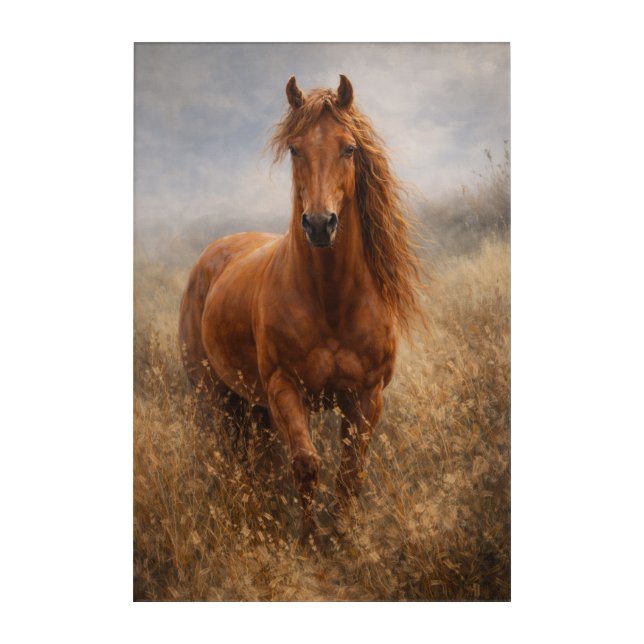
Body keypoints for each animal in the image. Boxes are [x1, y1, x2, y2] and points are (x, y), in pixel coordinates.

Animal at [179, 75, 424, 545]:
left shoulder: (366, 396)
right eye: (295, 149)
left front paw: (343, 533)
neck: (330, 301)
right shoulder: (285, 388)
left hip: (251, 404)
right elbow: (307, 464)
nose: (319, 225)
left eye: (349, 148)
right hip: (215, 397)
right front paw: (310, 539)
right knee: (232, 457)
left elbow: (351, 470)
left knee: (259, 459)